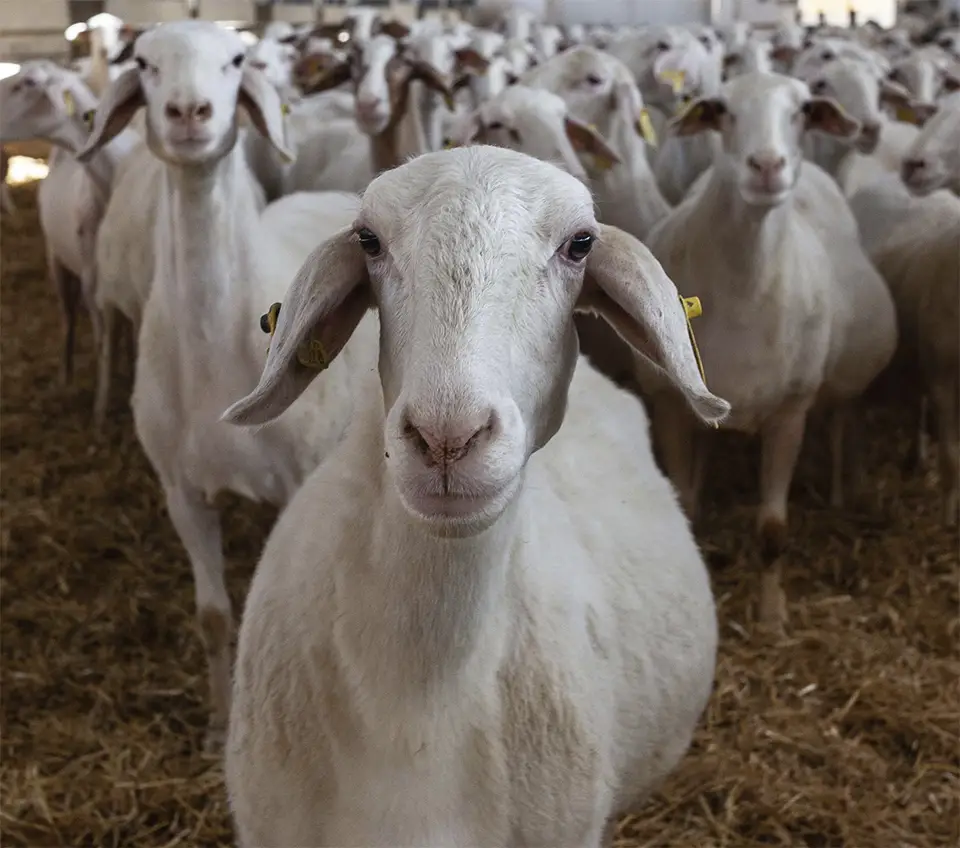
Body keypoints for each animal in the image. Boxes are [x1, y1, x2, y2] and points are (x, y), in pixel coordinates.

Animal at [75, 19, 381, 752]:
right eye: (144, 63)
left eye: (236, 58)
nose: (189, 112)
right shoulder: (180, 491)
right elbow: (213, 614)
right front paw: (218, 721)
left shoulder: (298, 483)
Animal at [644, 72, 898, 630]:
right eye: (721, 109)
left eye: (803, 110)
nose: (767, 166)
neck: (745, 286)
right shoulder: (670, 405)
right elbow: (684, 507)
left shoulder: (790, 415)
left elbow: (772, 530)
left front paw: (771, 615)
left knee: (842, 421)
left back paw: (841, 493)